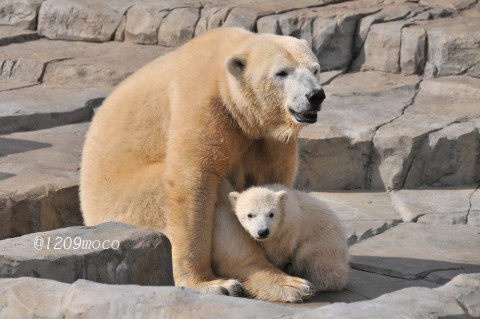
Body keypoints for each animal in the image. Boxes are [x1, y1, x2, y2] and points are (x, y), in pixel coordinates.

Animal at [80, 26, 324, 302]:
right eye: (282, 72)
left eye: (315, 69)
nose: (315, 95)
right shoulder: (203, 105)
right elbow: (194, 181)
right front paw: (203, 282)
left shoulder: (266, 137)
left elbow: (270, 184)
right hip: (130, 202)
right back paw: (279, 284)